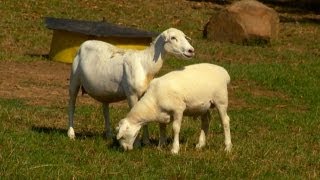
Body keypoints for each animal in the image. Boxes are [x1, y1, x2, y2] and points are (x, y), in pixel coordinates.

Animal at [67, 27, 195, 142]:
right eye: (173, 38)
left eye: (184, 36)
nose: (191, 50)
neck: (145, 64)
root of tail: (85, 43)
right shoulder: (131, 93)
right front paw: (138, 142)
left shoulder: (144, 94)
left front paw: (146, 142)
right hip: (74, 78)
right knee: (72, 105)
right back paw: (71, 134)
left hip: (104, 90)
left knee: (105, 110)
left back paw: (108, 135)